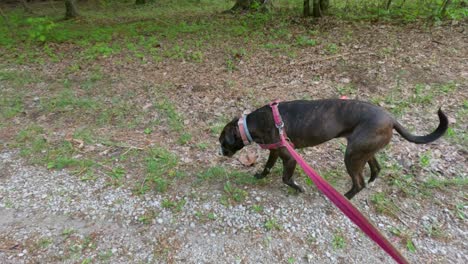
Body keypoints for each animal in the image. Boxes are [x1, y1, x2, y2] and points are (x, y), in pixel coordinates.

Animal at [218, 100, 446, 199]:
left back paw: (345, 198)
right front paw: (259, 176)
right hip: (363, 151)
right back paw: (371, 182)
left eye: (222, 142)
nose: (220, 153)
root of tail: (391, 119)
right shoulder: (275, 151)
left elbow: (285, 178)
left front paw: (298, 188)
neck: (251, 125)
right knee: (375, 168)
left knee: (359, 183)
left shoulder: (290, 158)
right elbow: (267, 167)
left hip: (352, 156)